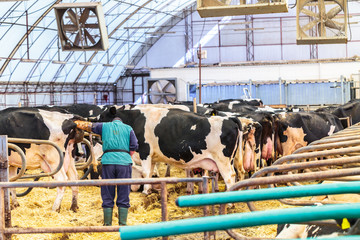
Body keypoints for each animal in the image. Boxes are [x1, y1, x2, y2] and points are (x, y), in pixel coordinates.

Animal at [98, 106, 242, 193]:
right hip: (230, 160)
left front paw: (144, 191)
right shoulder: (152, 157)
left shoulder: (145, 151)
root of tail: (229, 118)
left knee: (229, 177)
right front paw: (148, 190)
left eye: (103, 117)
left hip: (222, 160)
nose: (94, 123)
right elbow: (150, 173)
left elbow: (145, 172)